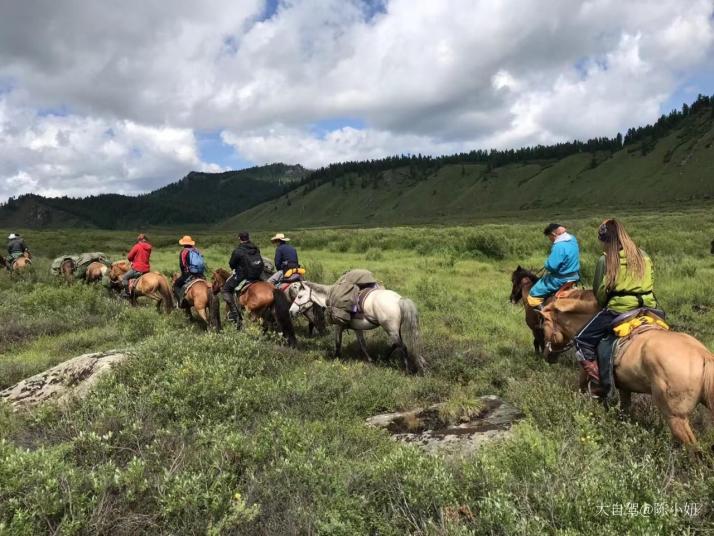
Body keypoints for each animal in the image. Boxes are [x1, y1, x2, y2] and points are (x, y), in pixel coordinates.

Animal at [288, 280, 426, 372]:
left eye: (299, 296)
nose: (290, 311)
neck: (330, 297)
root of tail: (399, 299)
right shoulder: (357, 329)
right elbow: (362, 344)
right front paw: (370, 360)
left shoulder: (338, 326)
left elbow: (338, 343)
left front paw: (336, 358)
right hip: (394, 330)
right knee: (397, 344)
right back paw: (384, 358)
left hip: (391, 330)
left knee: (403, 347)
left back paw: (407, 369)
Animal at [540, 288, 712, 444]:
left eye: (543, 325)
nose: (547, 356)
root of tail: (703, 355)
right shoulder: (624, 386)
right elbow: (624, 410)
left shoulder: (585, 370)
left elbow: (583, 388)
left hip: (676, 417)